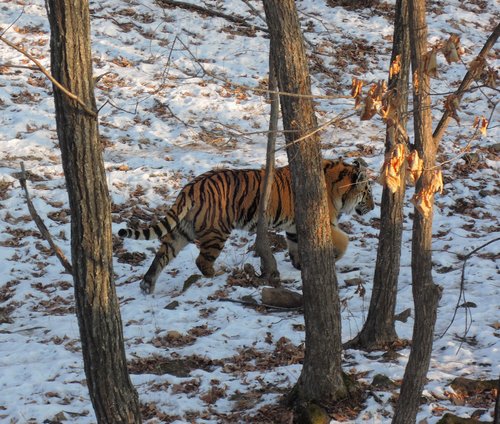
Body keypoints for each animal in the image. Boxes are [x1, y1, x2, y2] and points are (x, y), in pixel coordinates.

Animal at [119, 157, 374, 294]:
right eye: (368, 193)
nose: (373, 207)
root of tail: (191, 186)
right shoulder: (324, 222)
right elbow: (345, 240)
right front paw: (335, 256)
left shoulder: (293, 227)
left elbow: (294, 246)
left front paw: (300, 265)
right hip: (216, 231)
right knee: (202, 260)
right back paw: (216, 275)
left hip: (185, 229)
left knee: (162, 253)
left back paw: (147, 284)